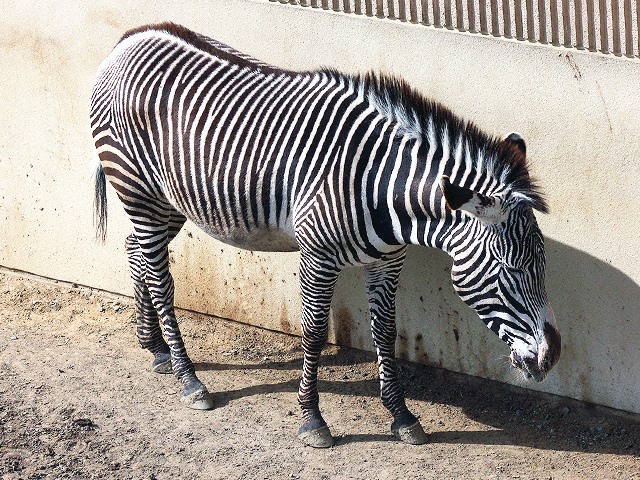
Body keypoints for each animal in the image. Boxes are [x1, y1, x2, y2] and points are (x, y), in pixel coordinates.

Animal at [90, 23, 560, 450]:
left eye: (542, 265)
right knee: (160, 278)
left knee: (136, 252)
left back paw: (156, 349)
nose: (551, 355)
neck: (380, 185)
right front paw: (312, 420)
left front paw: (402, 415)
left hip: (168, 201)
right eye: (511, 269)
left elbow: (385, 332)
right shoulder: (317, 256)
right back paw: (188, 378)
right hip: (139, 190)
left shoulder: (388, 260)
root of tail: (128, 40)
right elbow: (314, 333)